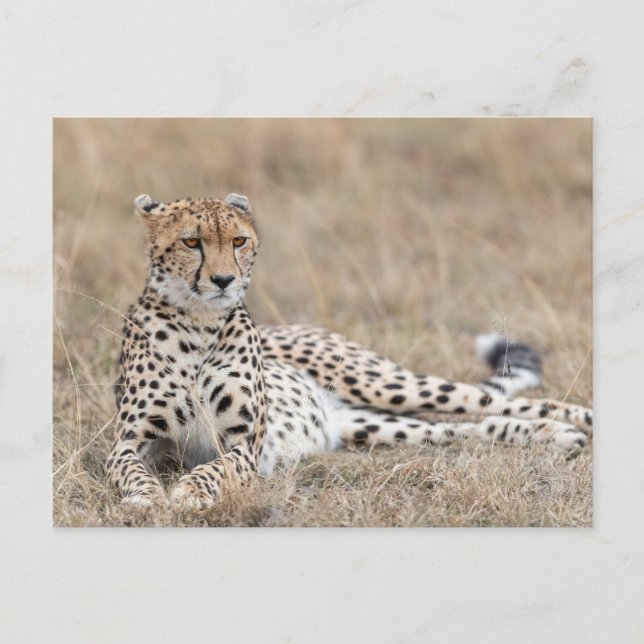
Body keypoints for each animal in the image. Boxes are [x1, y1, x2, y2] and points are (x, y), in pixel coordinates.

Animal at [106, 193, 593, 508]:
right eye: (192, 242)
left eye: (239, 241)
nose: (224, 280)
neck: (199, 322)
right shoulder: (129, 441)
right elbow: (129, 469)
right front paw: (147, 495)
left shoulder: (243, 443)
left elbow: (214, 468)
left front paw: (189, 491)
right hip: (368, 424)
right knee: (464, 426)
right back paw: (554, 436)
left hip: (379, 383)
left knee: (502, 401)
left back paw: (577, 423)